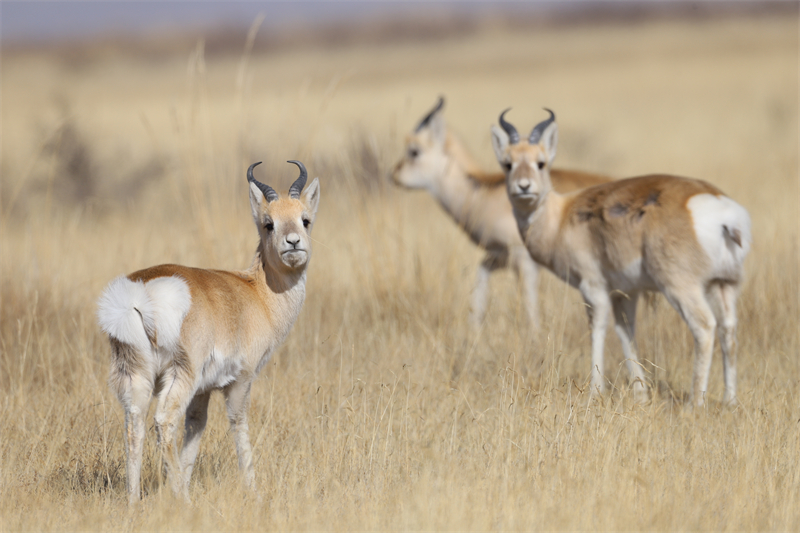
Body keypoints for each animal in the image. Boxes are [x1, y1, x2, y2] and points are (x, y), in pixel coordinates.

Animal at [97, 160, 320, 502]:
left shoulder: (203, 391)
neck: (257, 293)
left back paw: (134, 502)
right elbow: (238, 425)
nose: (293, 242)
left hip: (136, 375)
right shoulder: (240, 381)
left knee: (134, 425)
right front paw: (254, 492)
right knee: (163, 421)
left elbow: (195, 430)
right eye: (268, 223)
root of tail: (139, 291)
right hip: (180, 376)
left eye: (305, 219)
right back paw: (185, 501)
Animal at [392, 97, 611, 329]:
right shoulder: (499, 256)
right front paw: (474, 329)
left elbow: (529, 304)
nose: (393, 175)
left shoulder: (523, 260)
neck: (481, 194)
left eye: (414, 150)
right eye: (508, 163)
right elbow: (480, 277)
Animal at [492, 109, 751, 406]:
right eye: (508, 163)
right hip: (725, 285)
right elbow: (626, 333)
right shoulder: (625, 293)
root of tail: (723, 212)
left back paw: (694, 403)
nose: (524, 187)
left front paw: (595, 392)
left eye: (541, 163)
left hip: (681, 288)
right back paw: (730, 401)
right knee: (729, 330)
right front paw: (640, 394)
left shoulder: (593, 288)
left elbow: (597, 330)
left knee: (705, 327)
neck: (561, 217)